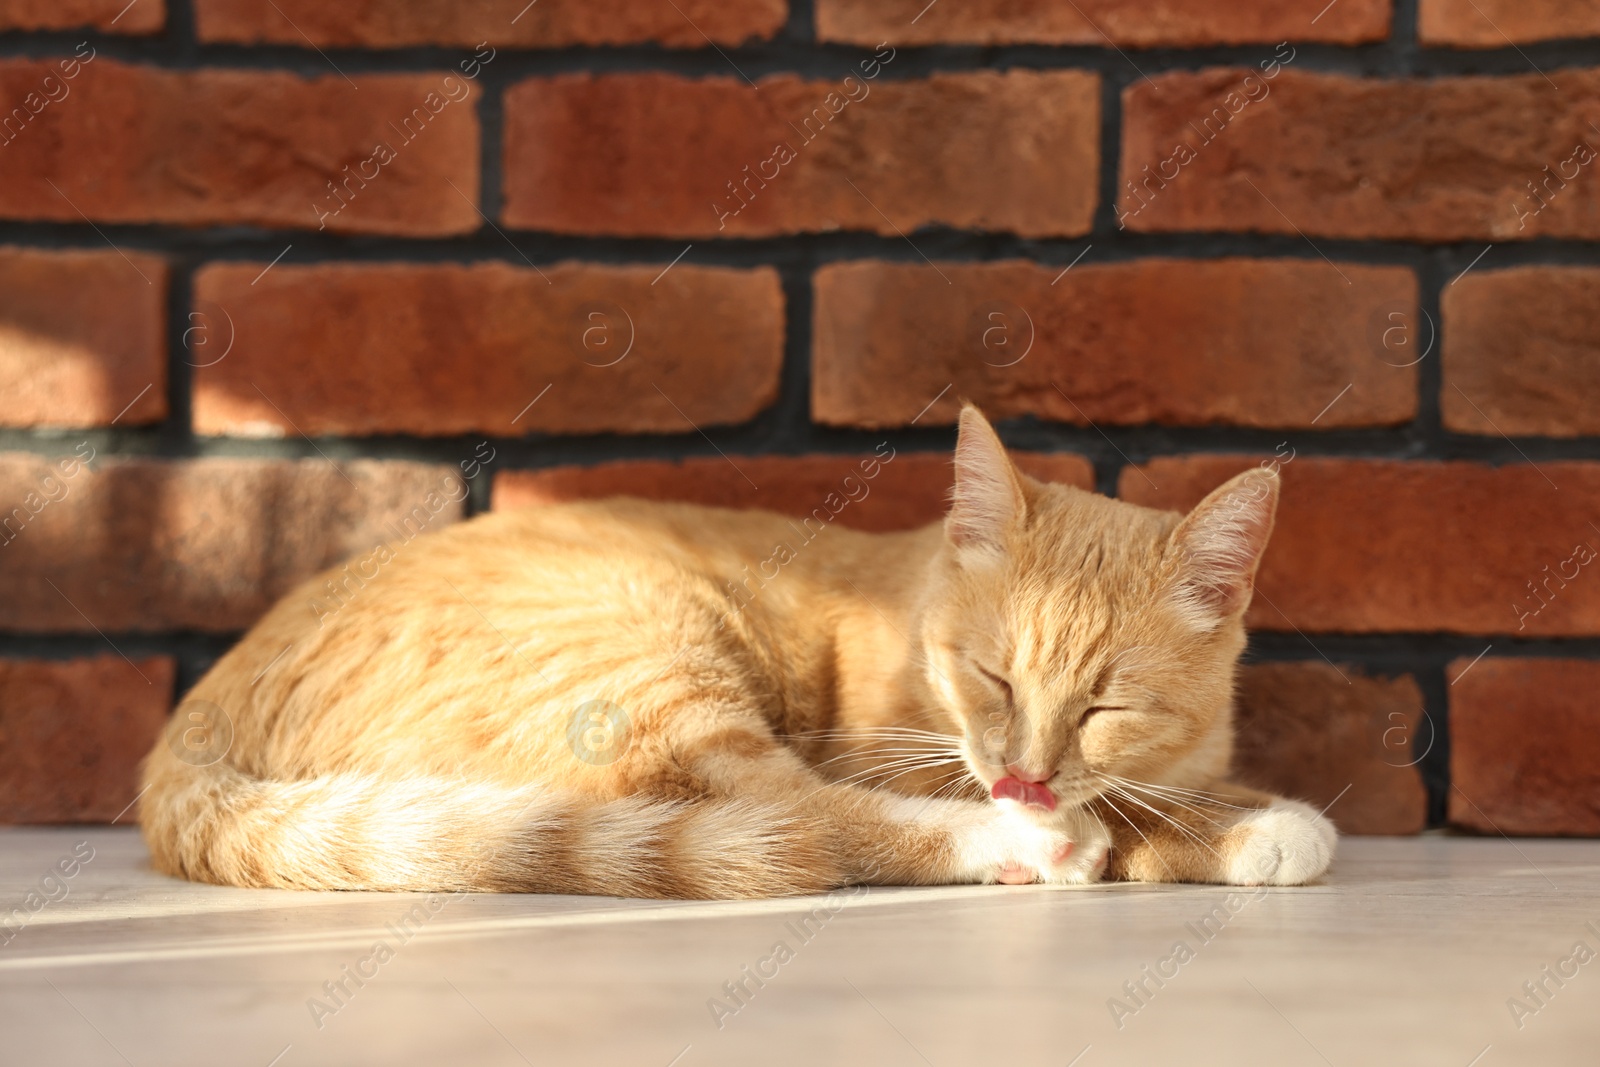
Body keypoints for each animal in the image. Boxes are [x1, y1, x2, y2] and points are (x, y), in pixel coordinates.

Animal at [140, 404, 1337, 895]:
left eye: (1103, 703)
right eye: (991, 675)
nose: (1024, 774)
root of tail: (202, 708)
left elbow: (1163, 794)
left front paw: (1237, 812)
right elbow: (1127, 824)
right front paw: (1252, 829)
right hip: (650, 671)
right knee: (800, 819)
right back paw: (1015, 845)